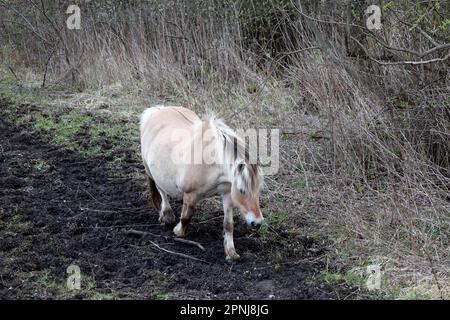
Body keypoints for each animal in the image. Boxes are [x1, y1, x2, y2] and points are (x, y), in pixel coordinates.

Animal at [139, 105, 262, 260]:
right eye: (241, 190)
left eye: (258, 191)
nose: (257, 223)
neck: (211, 161)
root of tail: (157, 110)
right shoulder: (190, 194)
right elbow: (186, 217)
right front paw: (178, 231)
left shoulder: (227, 193)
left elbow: (228, 224)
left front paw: (231, 252)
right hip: (152, 171)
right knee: (162, 191)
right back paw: (167, 215)